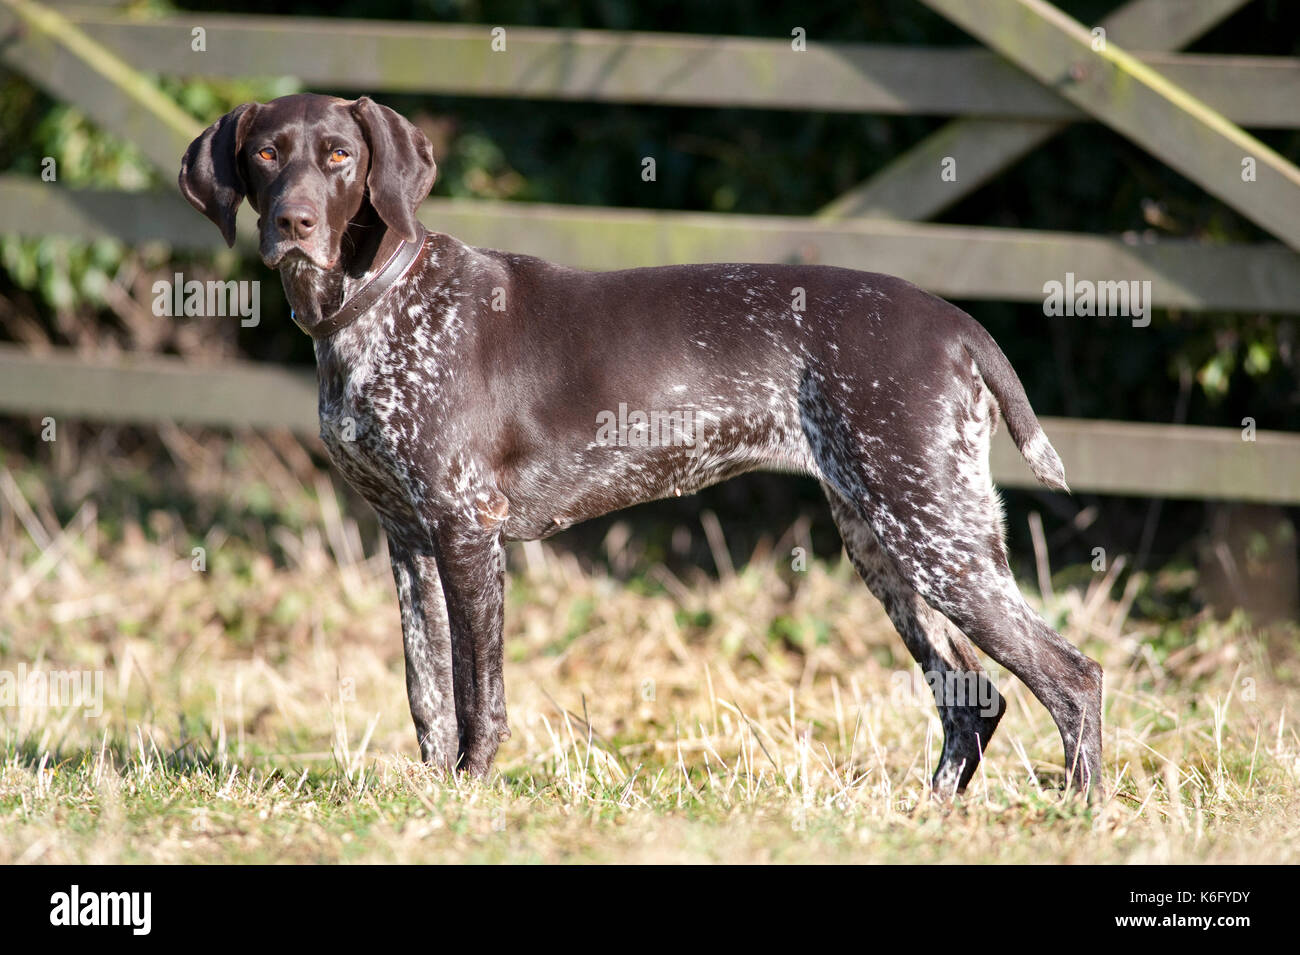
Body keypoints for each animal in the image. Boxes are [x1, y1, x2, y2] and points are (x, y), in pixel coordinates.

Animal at [178, 93, 1102, 800]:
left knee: (1071, 675)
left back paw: (1078, 813)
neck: (375, 303)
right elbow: (427, 690)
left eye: (339, 156)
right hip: (887, 546)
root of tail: (956, 324)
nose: (294, 222)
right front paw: (433, 792)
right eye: (266, 153)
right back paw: (929, 812)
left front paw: (471, 791)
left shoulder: (467, 529)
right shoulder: (405, 537)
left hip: (936, 537)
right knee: (972, 699)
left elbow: (480, 694)